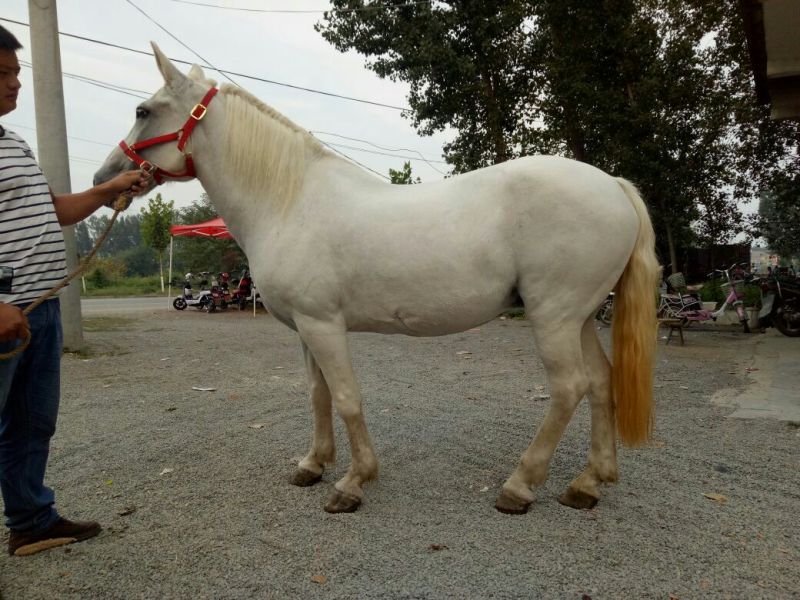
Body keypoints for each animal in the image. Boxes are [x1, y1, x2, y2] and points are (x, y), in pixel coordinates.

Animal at [94, 44, 660, 515]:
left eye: (144, 111)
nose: (106, 178)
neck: (289, 200)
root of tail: (613, 184)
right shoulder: (306, 328)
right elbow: (318, 395)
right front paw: (313, 465)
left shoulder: (324, 324)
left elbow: (347, 397)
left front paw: (352, 483)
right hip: (577, 317)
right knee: (601, 383)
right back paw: (588, 483)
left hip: (554, 317)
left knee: (569, 388)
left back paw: (519, 487)